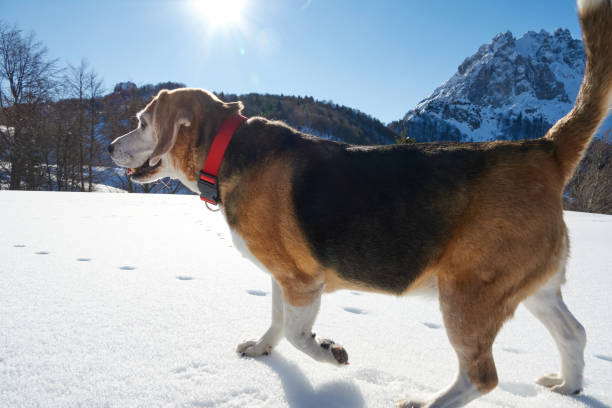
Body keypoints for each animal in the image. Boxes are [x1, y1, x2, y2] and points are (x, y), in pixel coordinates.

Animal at [110, 1, 612, 406]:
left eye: (141, 122)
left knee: (482, 377)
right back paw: (569, 388)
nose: (112, 147)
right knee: (575, 334)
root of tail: (543, 148)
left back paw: (425, 403)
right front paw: (260, 349)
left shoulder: (302, 282)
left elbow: (297, 335)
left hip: (468, 295)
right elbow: (276, 324)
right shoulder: (281, 277)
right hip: (532, 287)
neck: (227, 148)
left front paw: (328, 353)